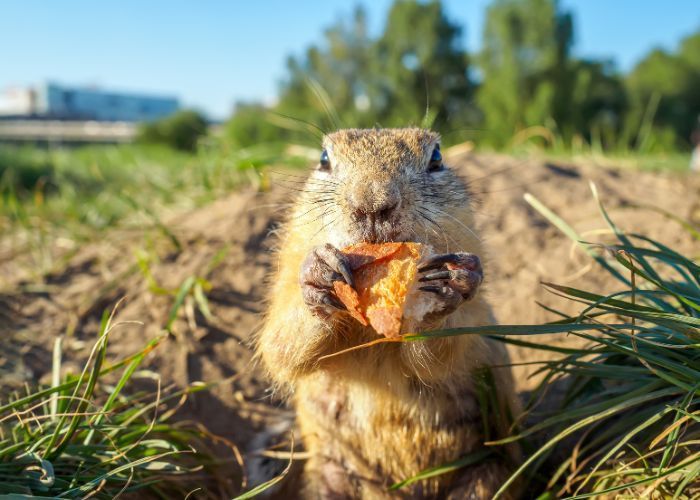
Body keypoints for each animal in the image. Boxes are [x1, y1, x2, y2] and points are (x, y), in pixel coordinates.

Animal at [256, 128, 520, 496]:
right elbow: (279, 345)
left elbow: (450, 350)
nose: (372, 204)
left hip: (488, 473)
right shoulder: (284, 277)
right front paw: (320, 272)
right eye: (323, 159)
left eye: (436, 157)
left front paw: (446, 285)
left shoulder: (477, 315)